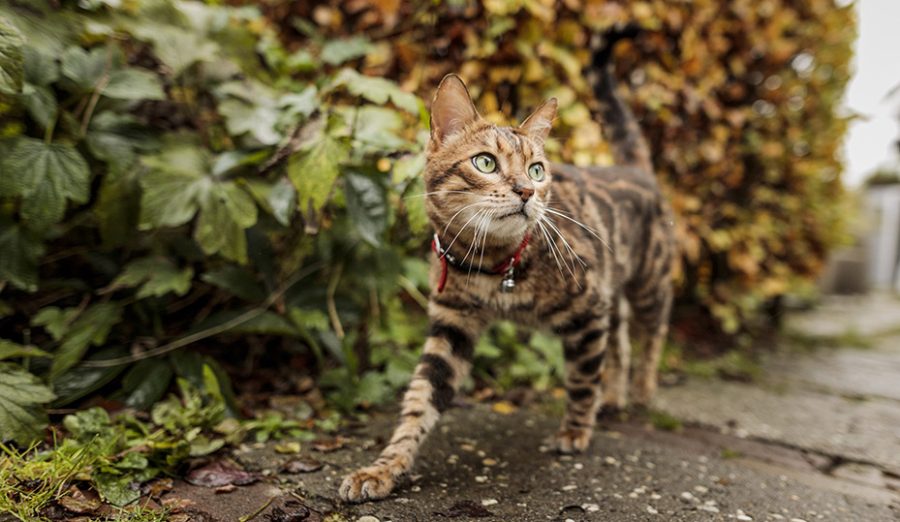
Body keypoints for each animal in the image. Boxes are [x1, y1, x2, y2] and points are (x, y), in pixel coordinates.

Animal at [342, 27, 672, 500]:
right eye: (485, 162)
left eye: (536, 170)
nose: (527, 192)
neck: (491, 267)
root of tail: (637, 169)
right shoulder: (452, 324)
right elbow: (420, 399)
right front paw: (384, 467)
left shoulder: (588, 309)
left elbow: (581, 378)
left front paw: (575, 431)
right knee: (620, 343)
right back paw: (613, 397)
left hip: (649, 284)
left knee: (650, 336)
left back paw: (640, 391)